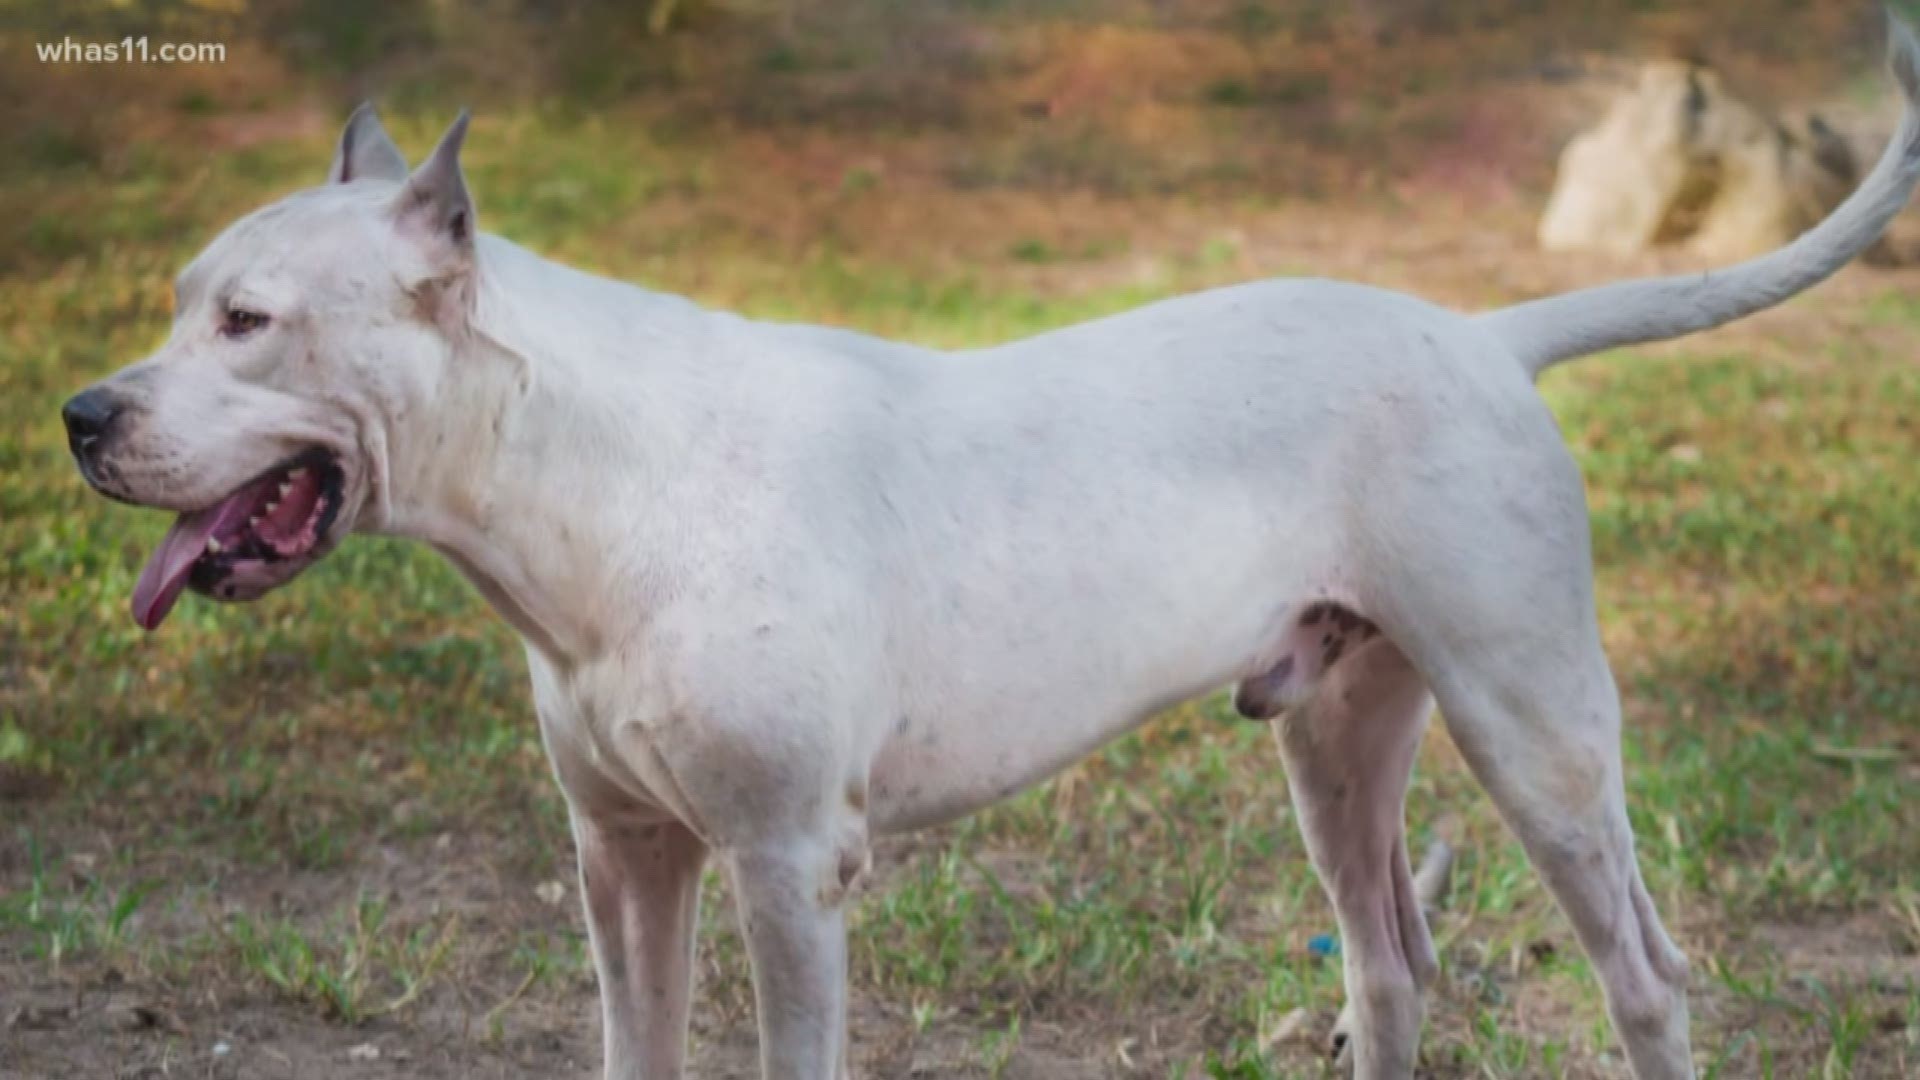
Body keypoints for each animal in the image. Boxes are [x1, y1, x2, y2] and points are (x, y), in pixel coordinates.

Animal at [60, 12, 1920, 1068]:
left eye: (248, 321)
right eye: (172, 301)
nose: (81, 413)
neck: (594, 481)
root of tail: (1486, 332)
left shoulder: (787, 872)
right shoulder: (624, 861)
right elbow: (629, 1045)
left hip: (1534, 731)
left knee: (1647, 980)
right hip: (1338, 733)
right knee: (1391, 971)